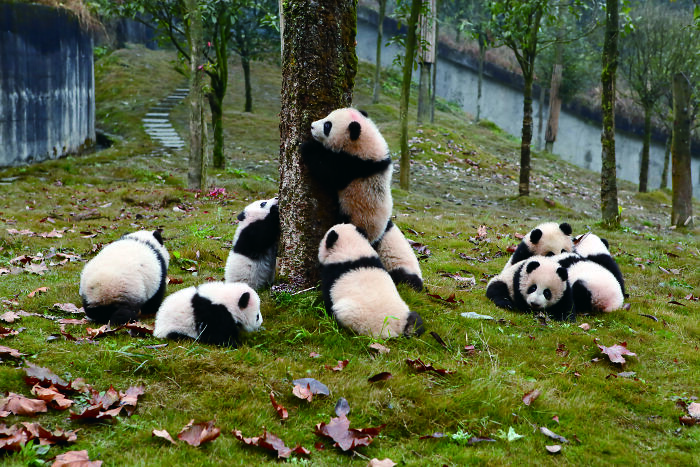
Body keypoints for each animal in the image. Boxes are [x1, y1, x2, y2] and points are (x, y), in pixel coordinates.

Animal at [301, 108, 392, 245]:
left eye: (327, 126)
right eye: (327, 117)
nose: (312, 126)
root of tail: (373, 238)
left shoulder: (354, 166)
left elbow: (328, 171)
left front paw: (308, 147)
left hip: (356, 218)